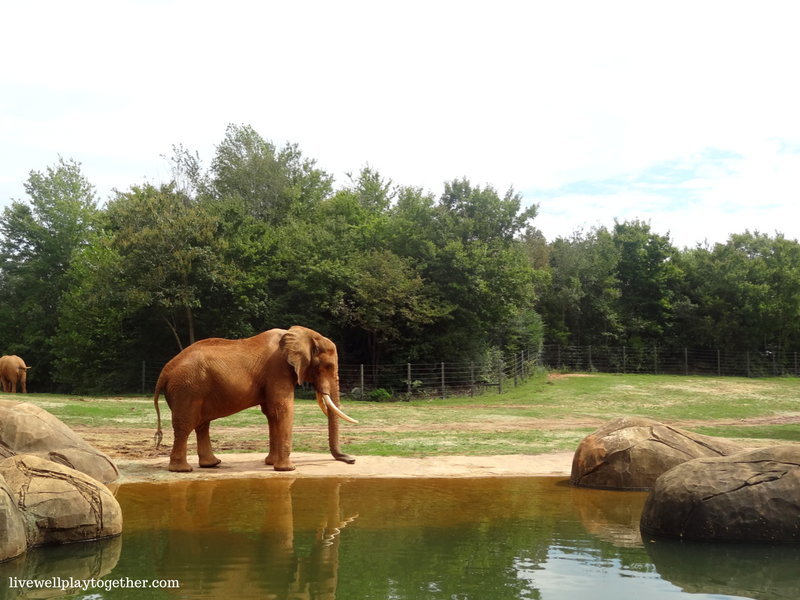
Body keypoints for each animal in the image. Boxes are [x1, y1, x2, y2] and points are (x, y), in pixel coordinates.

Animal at [154, 328, 360, 474]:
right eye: (326, 366)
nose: (352, 460)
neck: (302, 334)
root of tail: (165, 370)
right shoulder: (278, 369)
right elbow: (283, 408)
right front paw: (287, 469)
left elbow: (272, 413)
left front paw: (270, 463)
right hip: (187, 389)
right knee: (186, 426)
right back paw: (183, 470)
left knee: (202, 424)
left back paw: (212, 464)